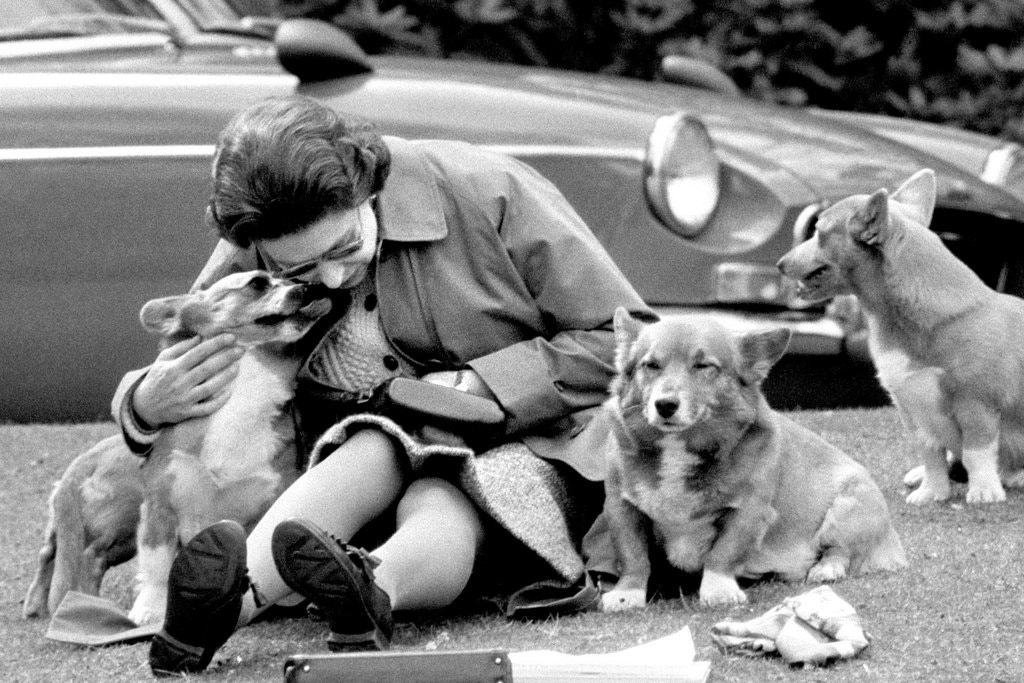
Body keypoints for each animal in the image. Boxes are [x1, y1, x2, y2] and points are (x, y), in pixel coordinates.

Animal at [22, 272, 329, 626]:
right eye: (257, 283)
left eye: (293, 278)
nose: (310, 287)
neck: (242, 390)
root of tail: (85, 460)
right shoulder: (159, 509)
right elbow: (157, 568)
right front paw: (149, 611)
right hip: (126, 516)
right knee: (75, 554)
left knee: (69, 554)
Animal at [598, 309, 905, 610]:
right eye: (651, 365)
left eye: (703, 366)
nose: (664, 405)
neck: (680, 447)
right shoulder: (621, 508)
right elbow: (633, 556)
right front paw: (626, 594)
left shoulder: (749, 510)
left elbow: (723, 554)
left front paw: (718, 591)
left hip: (849, 508)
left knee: (840, 551)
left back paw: (825, 569)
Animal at [774, 167, 1024, 505]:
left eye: (819, 231)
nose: (779, 264)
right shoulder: (913, 412)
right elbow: (931, 456)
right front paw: (931, 492)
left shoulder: (976, 405)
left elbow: (976, 453)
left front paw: (984, 490)